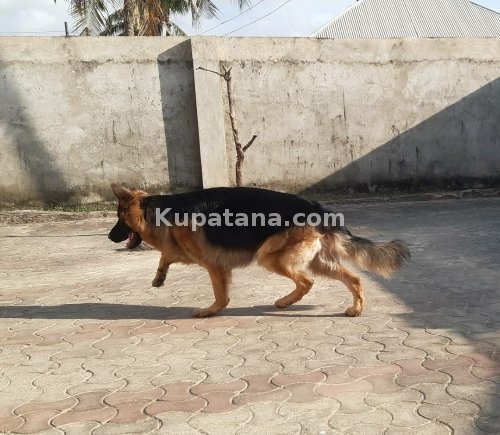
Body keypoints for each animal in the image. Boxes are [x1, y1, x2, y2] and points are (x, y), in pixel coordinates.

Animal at [108, 184, 410, 318]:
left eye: (120, 219)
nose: (110, 237)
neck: (160, 211)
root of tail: (318, 209)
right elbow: (166, 255)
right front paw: (159, 277)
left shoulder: (214, 265)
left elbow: (220, 294)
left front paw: (211, 311)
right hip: (317, 261)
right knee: (353, 278)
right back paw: (355, 308)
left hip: (270, 257)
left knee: (306, 281)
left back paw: (285, 302)